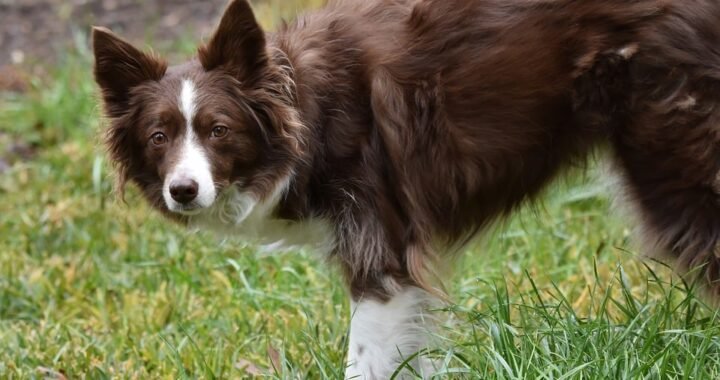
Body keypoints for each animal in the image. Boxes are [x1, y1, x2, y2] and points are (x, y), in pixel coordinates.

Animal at [93, 0, 720, 378]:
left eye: (219, 130)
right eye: (158, 137)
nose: (182, 190)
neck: (310, 111)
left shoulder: (381, 249)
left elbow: (365, 355)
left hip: (675, 165)